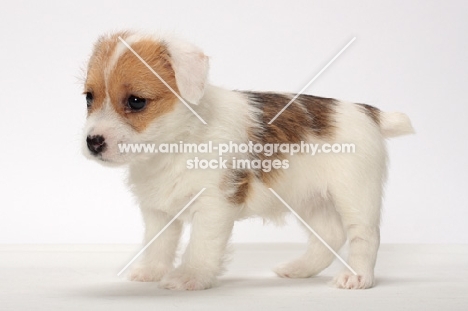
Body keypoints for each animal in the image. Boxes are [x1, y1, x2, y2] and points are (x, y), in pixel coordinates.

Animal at [81, 30, 414, 292]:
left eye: (136, 101)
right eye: (88, 98)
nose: (93, 142)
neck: (176, 143)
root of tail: (368, 111)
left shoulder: (213, 205)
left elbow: (201, 244)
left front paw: (190, 277)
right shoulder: (157, 211)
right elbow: (157, 242)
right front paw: (151, 271)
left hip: (355, 194)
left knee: (364, 235)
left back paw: (357, 277)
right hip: (310, 199)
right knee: (329, 236)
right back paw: (299, 268)